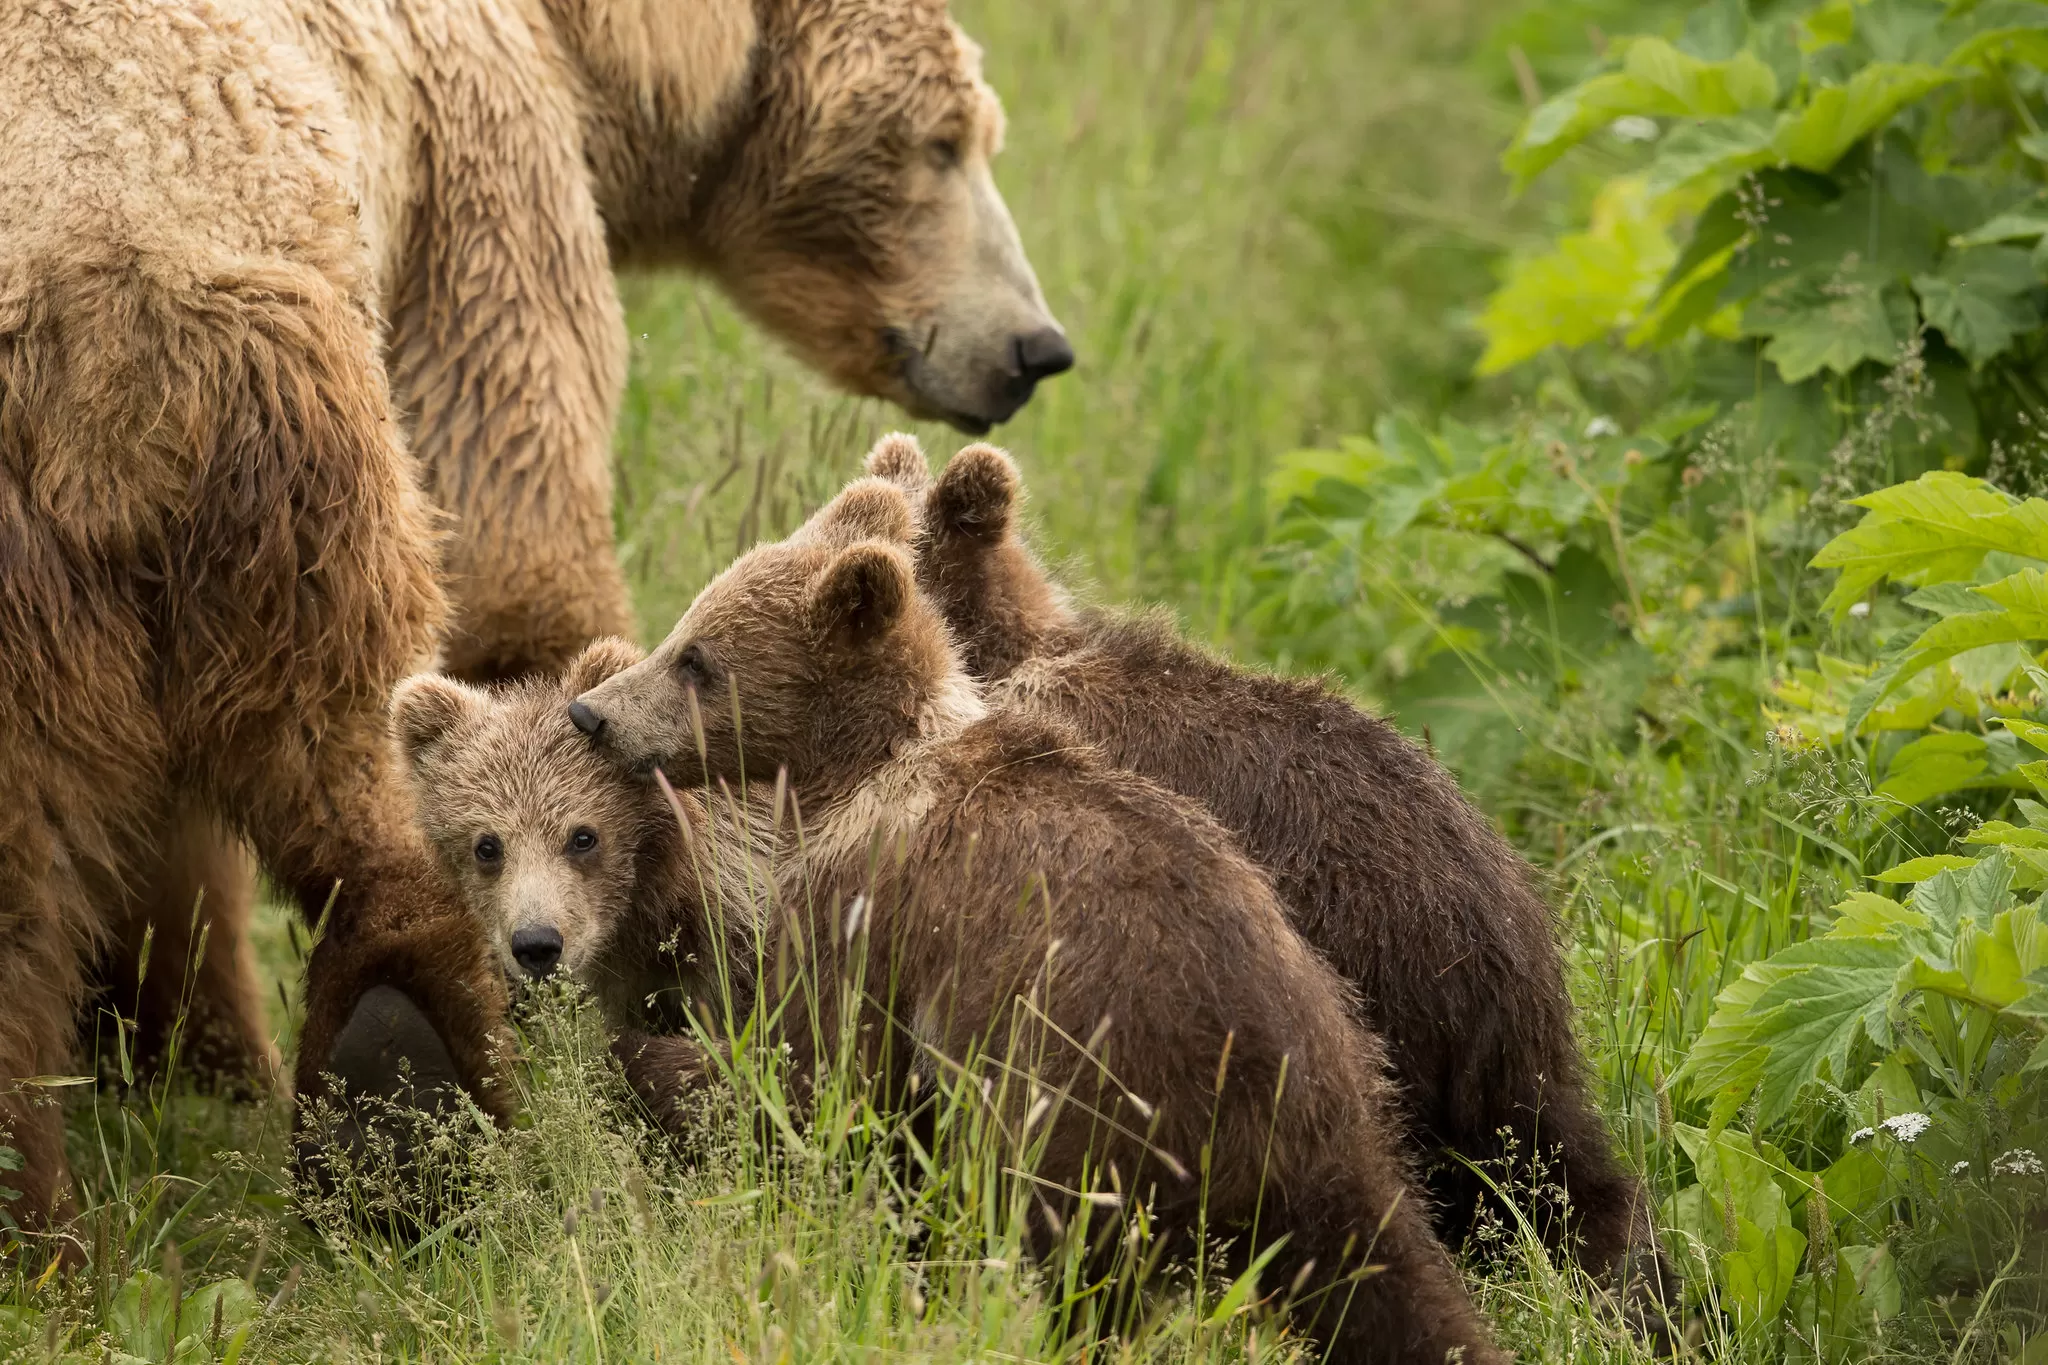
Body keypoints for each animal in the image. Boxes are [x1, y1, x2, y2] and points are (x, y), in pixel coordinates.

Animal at [8, 0, 1073, 1244]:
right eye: (945, 140)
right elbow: (513, 527)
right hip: (283, 415)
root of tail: (92, 333)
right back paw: (400, 1067)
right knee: (353, 718)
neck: (585, 52)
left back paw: (39, 1199)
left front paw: (188, 1048)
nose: (1035, 348)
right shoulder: (476, 182)